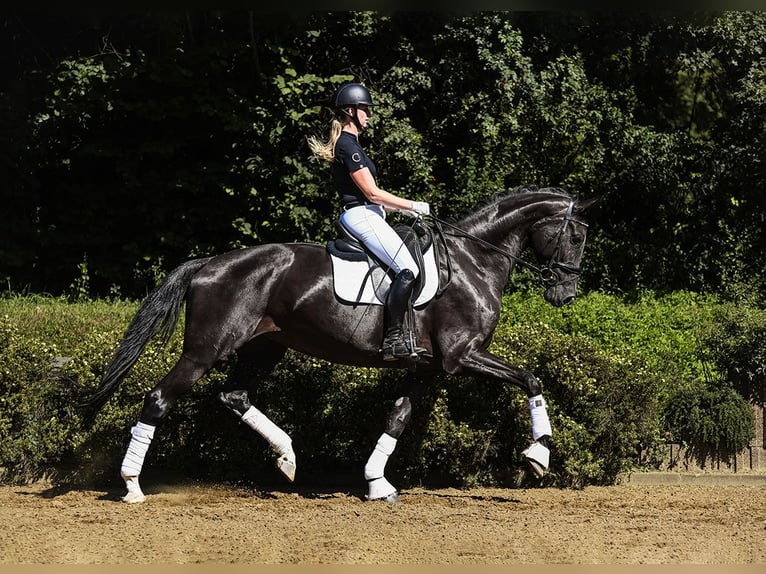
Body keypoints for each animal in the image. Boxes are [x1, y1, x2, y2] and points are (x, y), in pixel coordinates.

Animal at [84, 188, 600, 504]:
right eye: (576, 235)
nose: (566, 294)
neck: (473, 261)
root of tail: (210, 263)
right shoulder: (461, 357)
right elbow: (531, 378)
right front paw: (539, 457)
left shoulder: (428, 367)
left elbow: (397, 417)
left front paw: (376, 483)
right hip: (204, 352)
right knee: (159, 399)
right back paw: (132, 486)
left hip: (265, 347)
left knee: (235, 396)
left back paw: (288, 458)